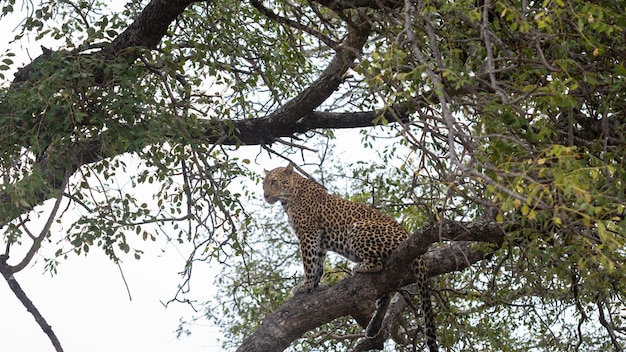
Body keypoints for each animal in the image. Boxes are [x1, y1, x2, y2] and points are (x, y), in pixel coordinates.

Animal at [260, 164, 436, 350]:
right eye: (264, 184)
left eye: (274, 182)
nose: (265, 195)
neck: (289, 197)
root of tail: (407, 235)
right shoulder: (319, 240)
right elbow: (318, 264)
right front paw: (314, 285)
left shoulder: (308, 233)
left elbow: (308, 262)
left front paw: (305, 285)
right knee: (388, 289)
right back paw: (374, 327)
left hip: (358, 229)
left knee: (379, 264)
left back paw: (360, 268)